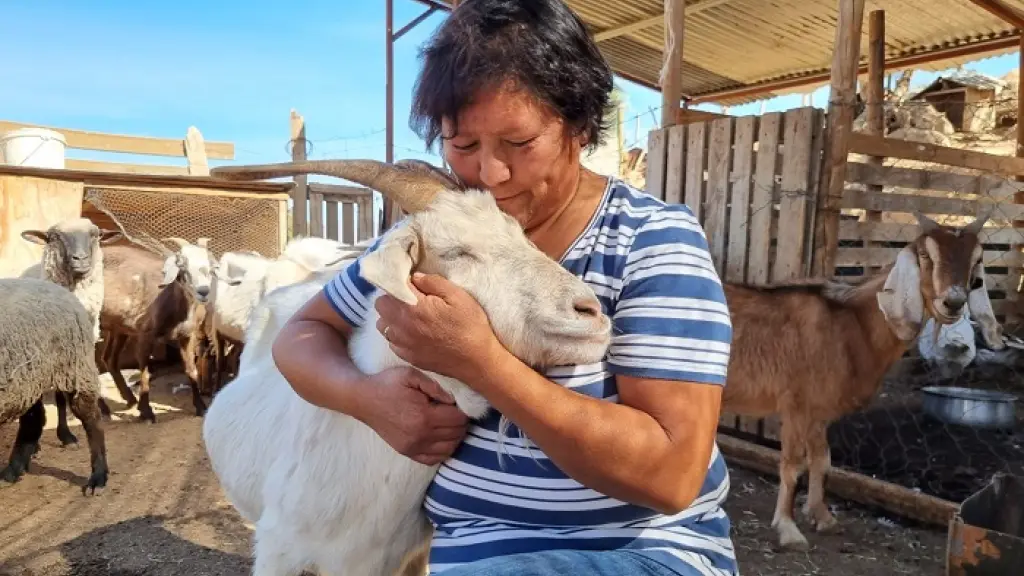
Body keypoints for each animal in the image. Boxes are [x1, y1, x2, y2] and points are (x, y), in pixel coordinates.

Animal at [724, 211, 1003, 545]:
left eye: (977, 259)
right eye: (925, 255)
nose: (953, 302)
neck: (852, 324)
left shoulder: (819, 410)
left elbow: (822, 461)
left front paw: (823, 517)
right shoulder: (796, 404)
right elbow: (792, 465)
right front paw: (789, 529)